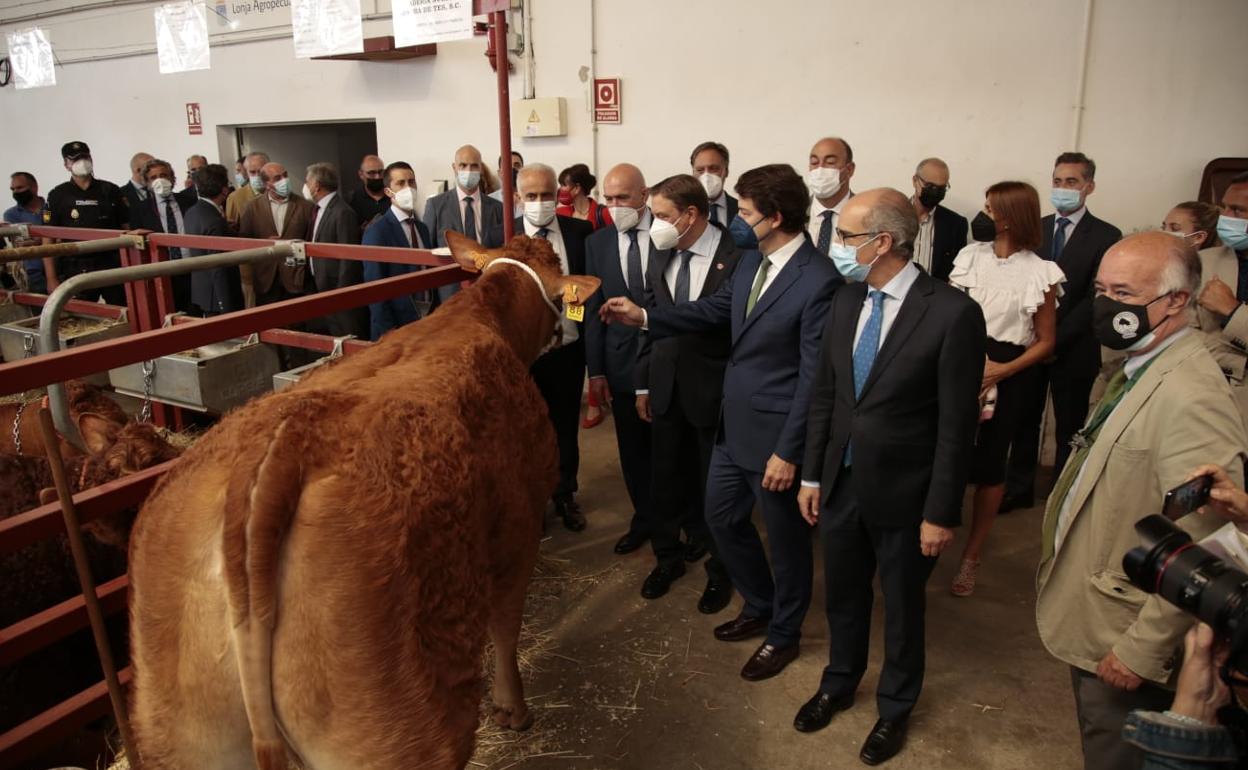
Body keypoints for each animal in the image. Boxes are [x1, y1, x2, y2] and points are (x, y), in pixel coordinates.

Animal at [129, 230, 601, 763]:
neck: (478, 318)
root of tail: (277, 452)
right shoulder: (516, 527)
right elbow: (505, 625)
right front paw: (512, 709)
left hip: (185, 736)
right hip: (392, 732)